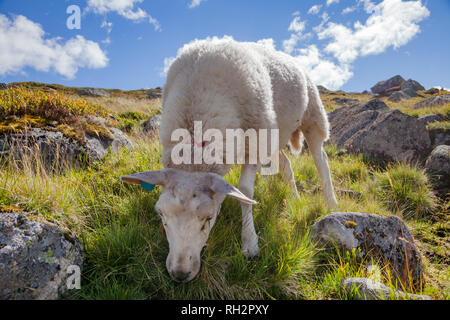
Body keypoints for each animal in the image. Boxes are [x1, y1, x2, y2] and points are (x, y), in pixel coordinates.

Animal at [120, 37, 338, 282]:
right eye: (161, 215)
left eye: (209, 218)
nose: (180, 274)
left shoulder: (255, 142)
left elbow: (245, 191)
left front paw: (249, 242)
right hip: (276, 133)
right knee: (286, 164)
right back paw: (295, 197)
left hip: (313, 116)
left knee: (321, 160)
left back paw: (331, 201)